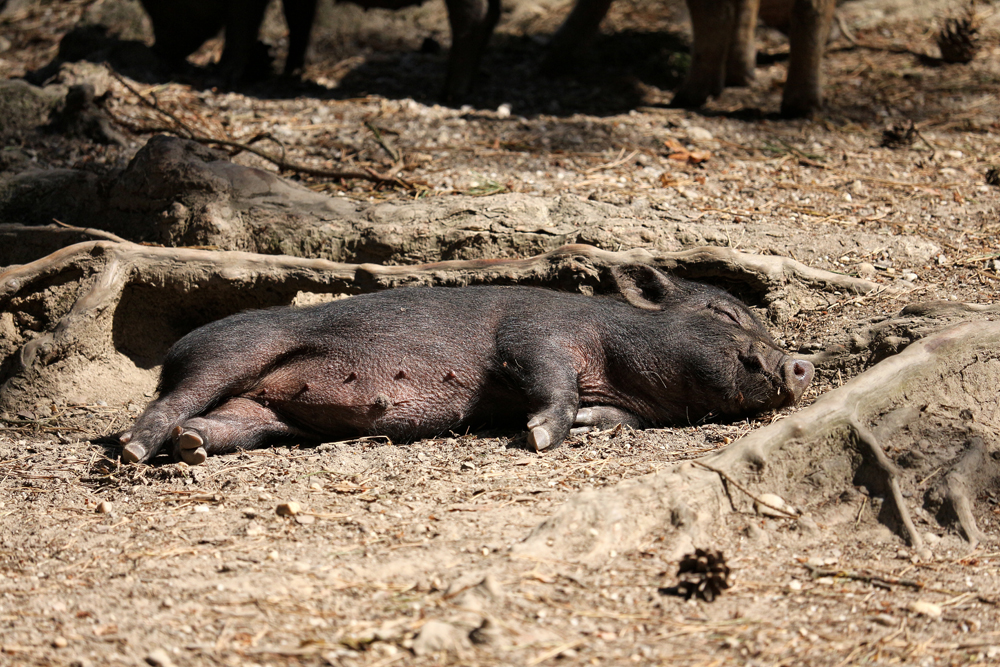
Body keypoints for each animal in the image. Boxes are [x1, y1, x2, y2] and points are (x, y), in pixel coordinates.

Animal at [121, 266, 816, 464]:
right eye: (722, 312)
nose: (801, 365)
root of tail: (174, 350)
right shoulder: (534, 337)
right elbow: (549, 381)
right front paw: (539, 438)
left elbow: (614, 419)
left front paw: (584, 427)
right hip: (230, 353)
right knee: (170, 400)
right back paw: (132, 450)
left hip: (266, 413)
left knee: (224, 422)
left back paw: (191, 448)